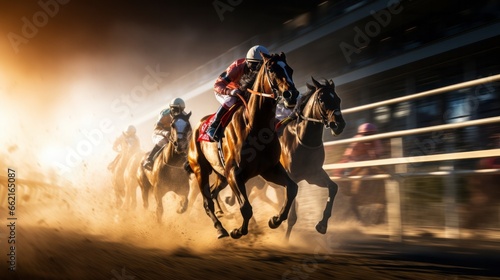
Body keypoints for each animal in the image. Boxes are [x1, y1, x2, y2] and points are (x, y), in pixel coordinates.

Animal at [187, 52, 296, 238]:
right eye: (271, 70)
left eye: (290, 69)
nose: (292, 94)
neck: (255, 125)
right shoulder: (233, 173)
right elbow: (246, 207)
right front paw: (238, 231)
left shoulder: (270, 169)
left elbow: (292, 188)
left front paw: (275, 220)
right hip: (201, 171)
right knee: (207, 202)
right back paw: (221, 229)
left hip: (220, 174)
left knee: (214, 193)